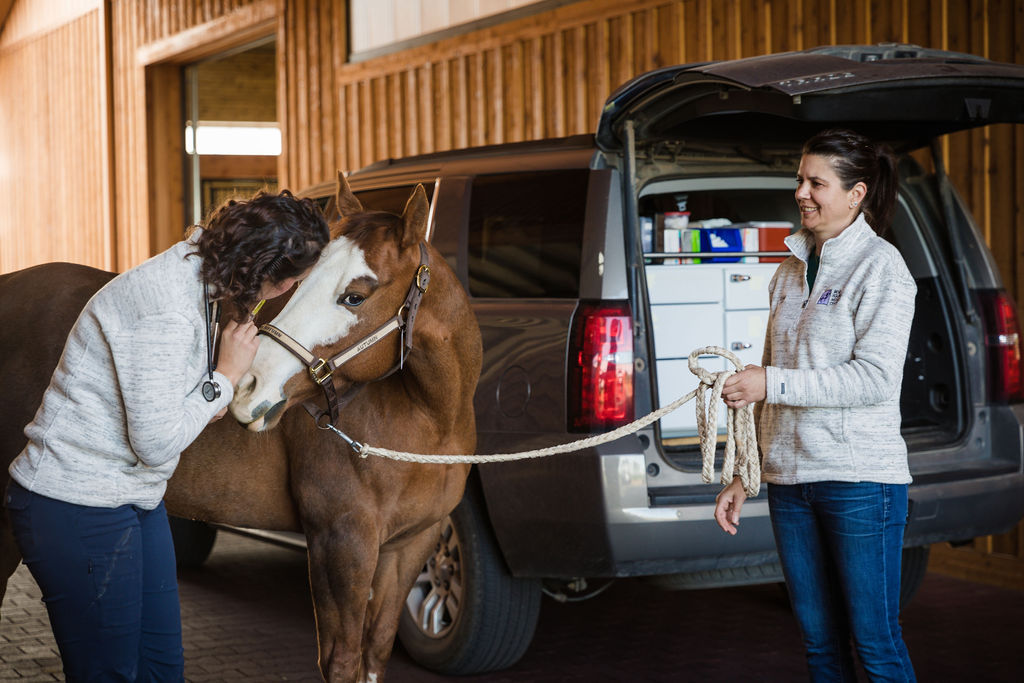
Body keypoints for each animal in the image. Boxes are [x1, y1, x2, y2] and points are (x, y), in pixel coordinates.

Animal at [0, 178, 483, 683]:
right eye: (299, 284)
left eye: (355, 296)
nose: (249, 386)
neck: (428, 420)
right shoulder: (341, 543)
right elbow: (342, 659)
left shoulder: (410, 547)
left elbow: (374, 653)